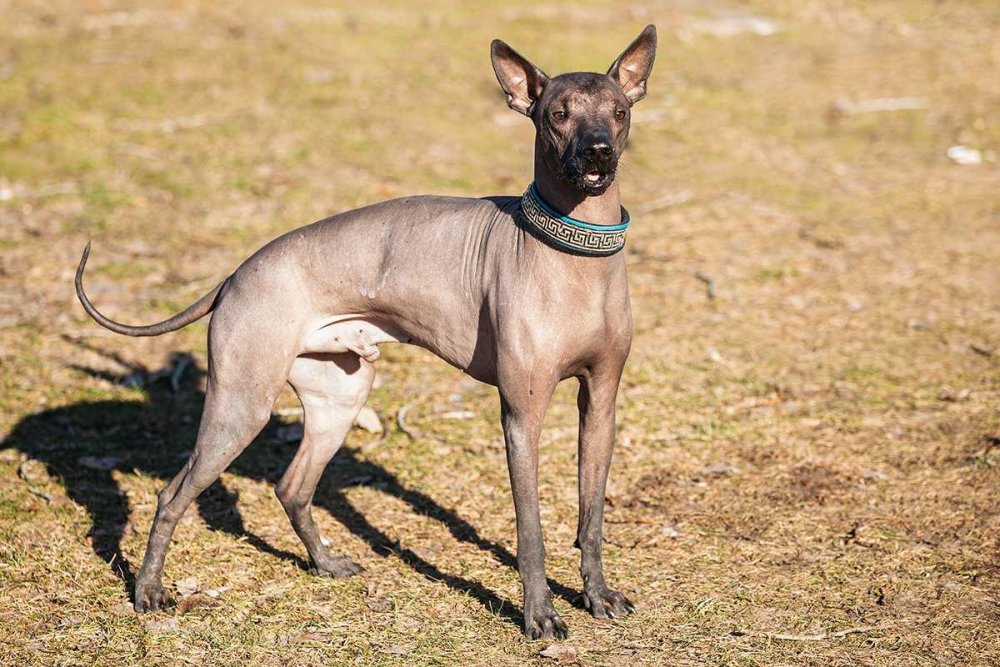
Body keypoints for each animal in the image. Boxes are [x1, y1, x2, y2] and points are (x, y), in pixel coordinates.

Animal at [76, 26, 656, 640]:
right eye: (558, 115)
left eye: (618, 112)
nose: (598, 150)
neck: (575, 251)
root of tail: (235, 274)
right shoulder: (522, 416)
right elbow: (531, 531)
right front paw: (539, 613)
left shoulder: (601, 405)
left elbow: (591, 517)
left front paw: (597, 595)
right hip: (241, 405)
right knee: (171, 494)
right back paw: (147, 591)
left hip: (340, 397)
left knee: (293, 486)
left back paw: (325, 564)